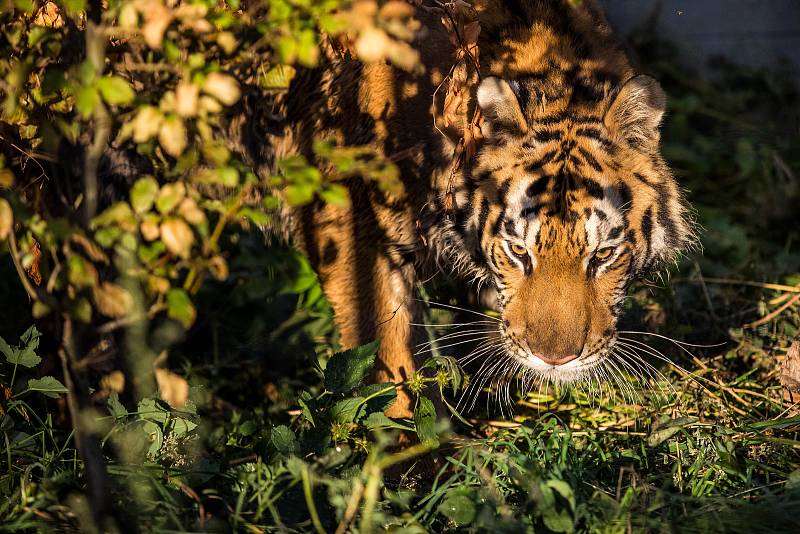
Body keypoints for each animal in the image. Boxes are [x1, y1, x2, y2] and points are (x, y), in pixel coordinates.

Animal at [268, 0, 692, 418]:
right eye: (518, 251)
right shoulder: (350, 215)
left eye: (603, 254)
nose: (555, 359)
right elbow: (387, 352)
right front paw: (404, 435)